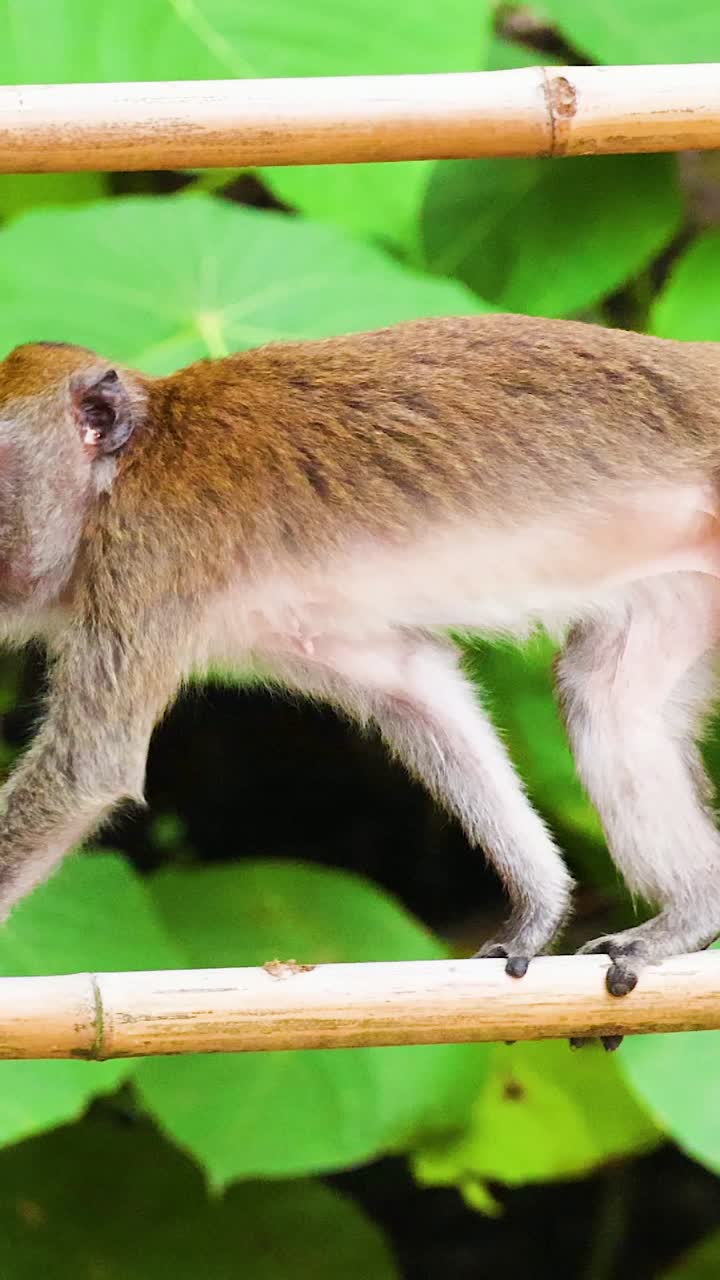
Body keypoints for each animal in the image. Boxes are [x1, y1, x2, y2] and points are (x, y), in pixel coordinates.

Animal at [1, 312, 720, 1010]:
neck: (123, 469)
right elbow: (414, 687)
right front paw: (540, 905)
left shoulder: (147, 552)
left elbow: (88, 768)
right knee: (607, 696)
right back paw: (694, 913)